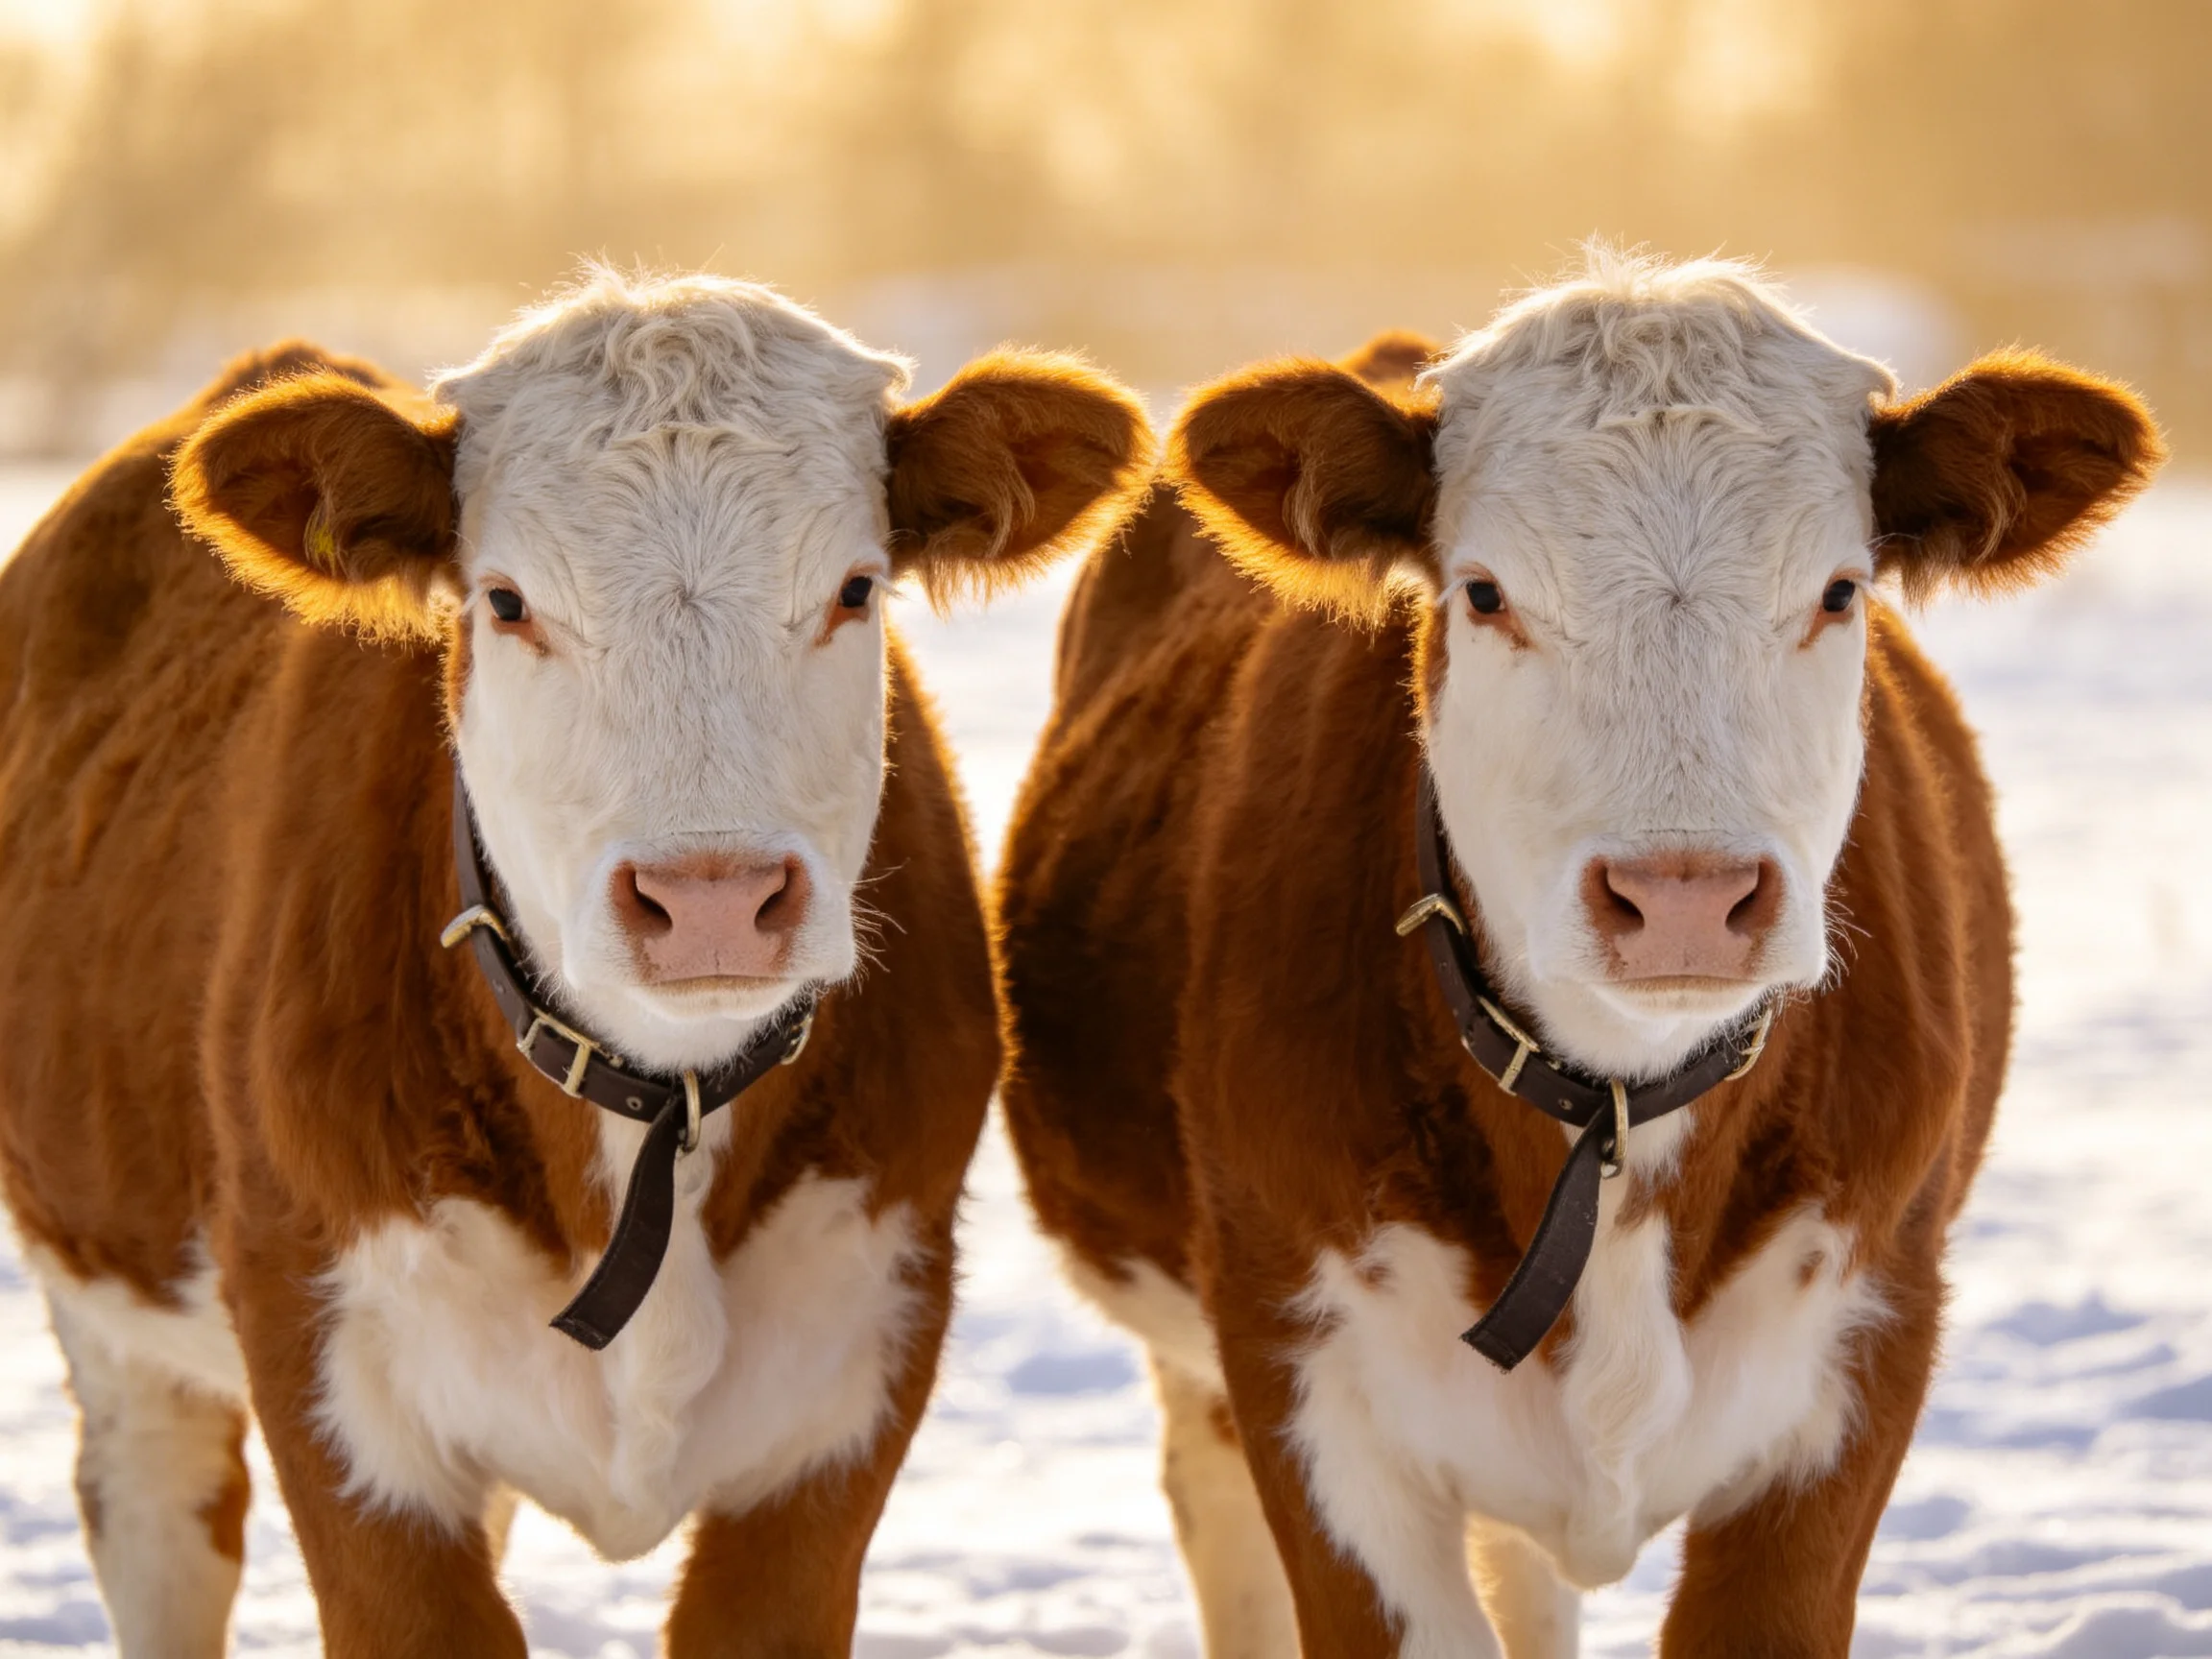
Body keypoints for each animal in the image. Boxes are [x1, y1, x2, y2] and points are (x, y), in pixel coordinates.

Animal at [0, 269, 1151, 1656]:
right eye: (505, 601)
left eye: (856, 588)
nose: (711, 901)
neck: (655, 1116)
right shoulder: (336, 1385)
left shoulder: (851, 1385)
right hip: (114, 1324)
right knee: (162, 1526)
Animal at [997, 251, 2162, 1657]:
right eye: (1485, 592)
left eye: (1841, 591)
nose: (1683, 897)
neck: (1616, 1114)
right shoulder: (1304, 1374)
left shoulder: (1862, 1354)